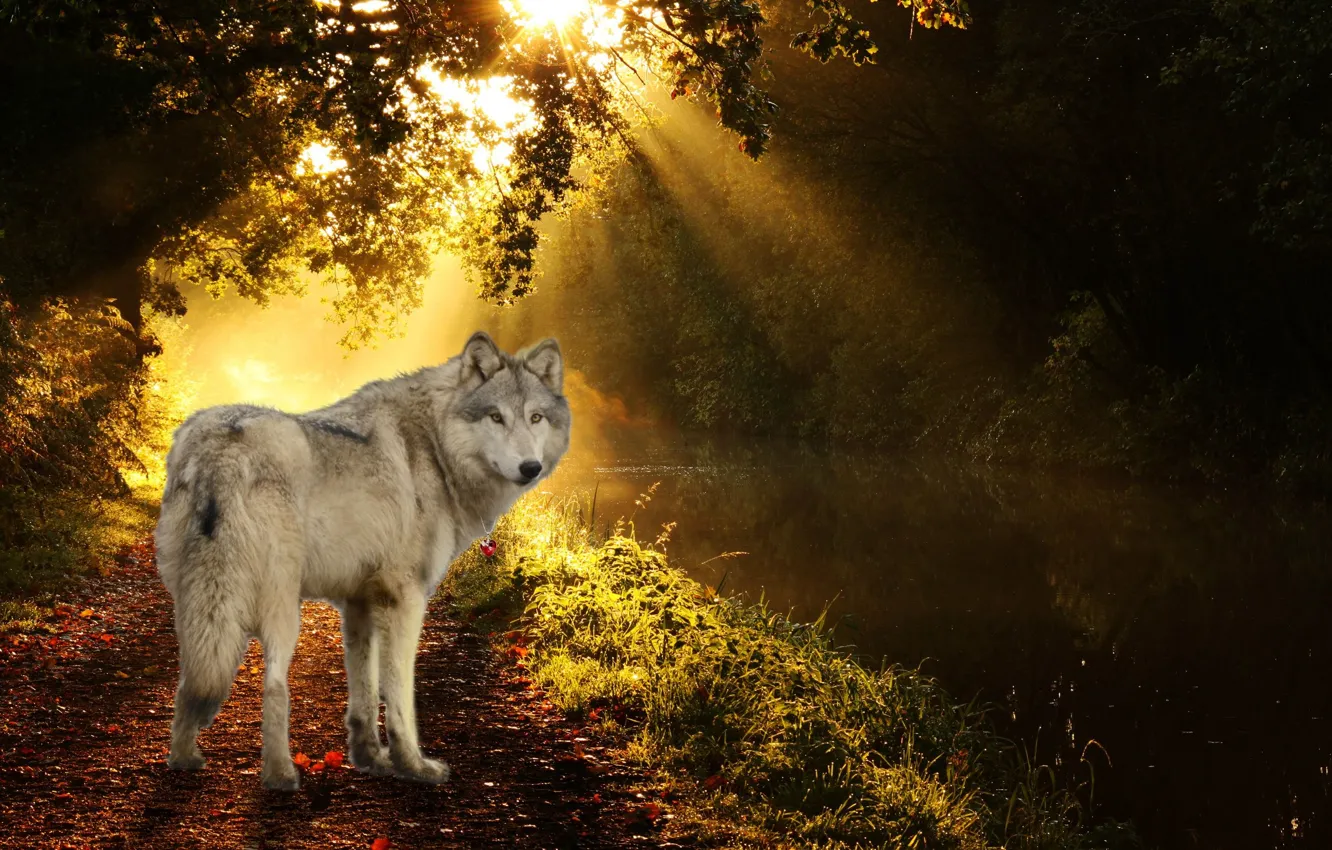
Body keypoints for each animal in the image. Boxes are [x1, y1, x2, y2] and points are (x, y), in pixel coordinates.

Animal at [154, 331, 570, 790]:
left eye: (535, 418)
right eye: (496, 417)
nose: (530, 467)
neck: (436, 446)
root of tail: (220, 446)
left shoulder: (359, 603)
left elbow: (364, 693)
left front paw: (370, 758)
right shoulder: (405, 600)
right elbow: (399, 696)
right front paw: (413, 765)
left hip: (196, 604)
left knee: (188, 681)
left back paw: (183, 758)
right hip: (280, 609)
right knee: (274, 686)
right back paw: (281, 775)